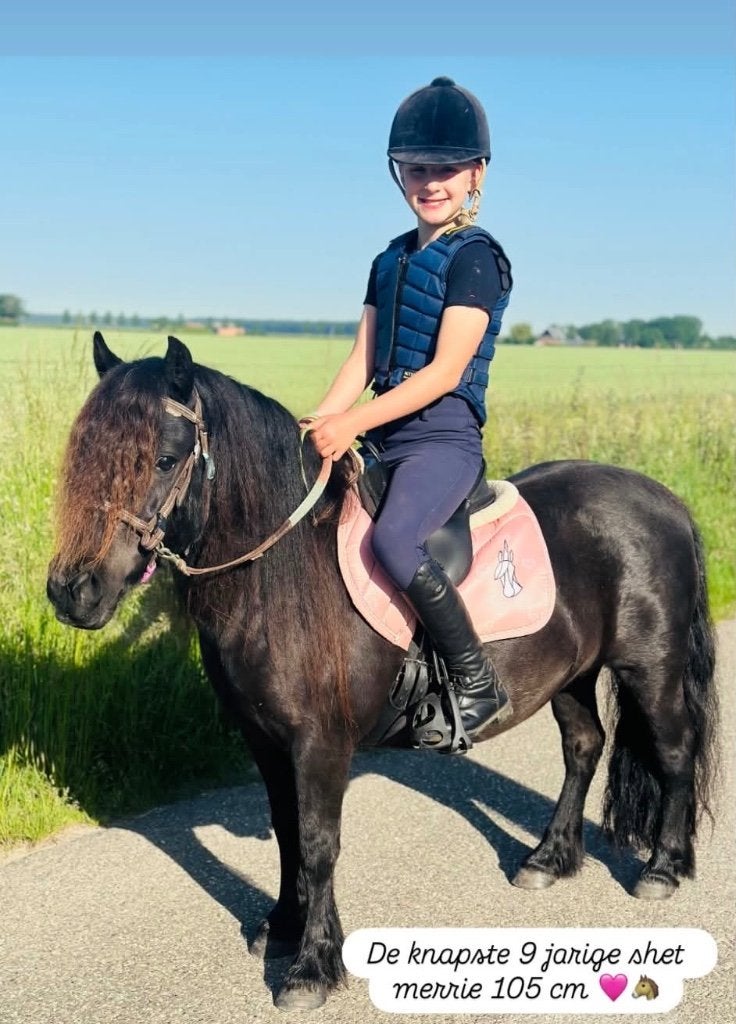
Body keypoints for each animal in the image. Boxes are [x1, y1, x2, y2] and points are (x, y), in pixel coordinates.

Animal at [47, 334, 718, 1011]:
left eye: (164, 458)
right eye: (83, 455)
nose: (73, 592)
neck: (279, 578)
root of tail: (665, 500)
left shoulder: (320, 743)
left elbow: (318, 845)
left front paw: (312, 967)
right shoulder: (264, 739)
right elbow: (287, 831)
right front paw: (283, 928)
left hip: (650, 668)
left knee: (674, 752)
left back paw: (662, 867)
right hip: (571, 674)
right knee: (584, 746)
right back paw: (549, 859)